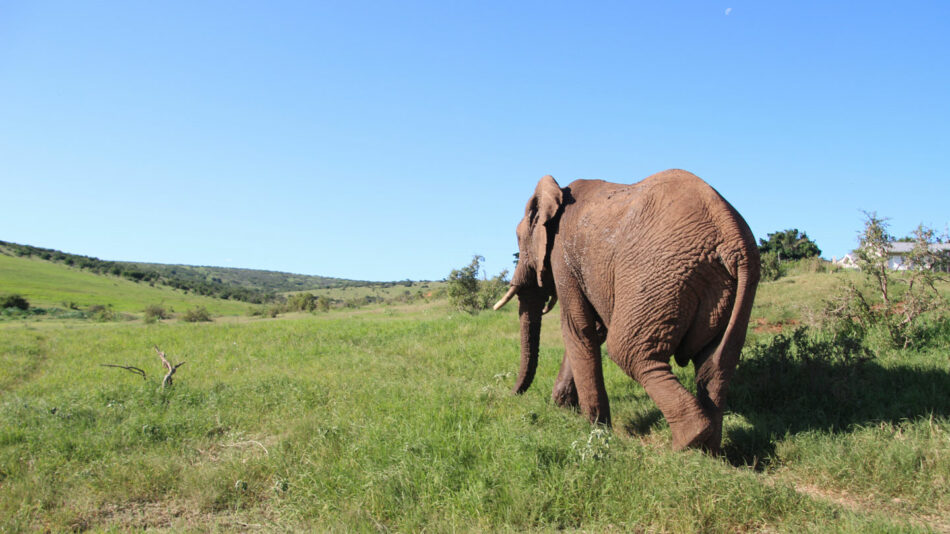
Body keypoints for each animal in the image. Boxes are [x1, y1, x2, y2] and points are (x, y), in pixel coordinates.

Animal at [494, 170, 764, 454]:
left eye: (519, 239)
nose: (511, 395)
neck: (558, 191)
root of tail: (732, 239)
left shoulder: (562, 254)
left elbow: (577, 328)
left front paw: (593, 428)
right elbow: (593, 330)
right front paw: (563, 408)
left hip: (660, 275)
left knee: (629, 353)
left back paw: (687, 443)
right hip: (728, 288)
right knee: (715, 363)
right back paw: (707, 451)